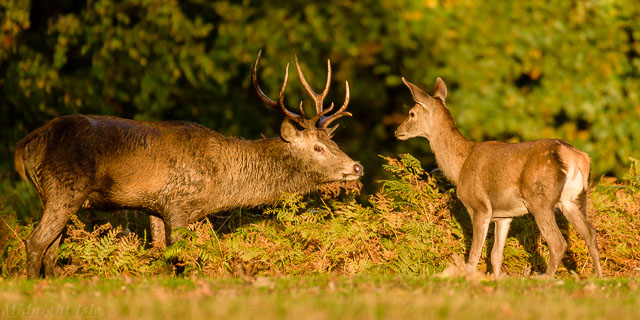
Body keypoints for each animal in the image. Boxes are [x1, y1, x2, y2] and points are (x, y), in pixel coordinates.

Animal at [396, 77, 600, 278]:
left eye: (411, 113)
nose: (397, 131)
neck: (460, 166)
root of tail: (573, 156)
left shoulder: (479, 207)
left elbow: (473, 256)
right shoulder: (504, 215)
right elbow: (496, 255)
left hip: (540, 199)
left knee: (558, 243)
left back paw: (547, 279)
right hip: (574, 199)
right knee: (590, 233)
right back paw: (599, 277)